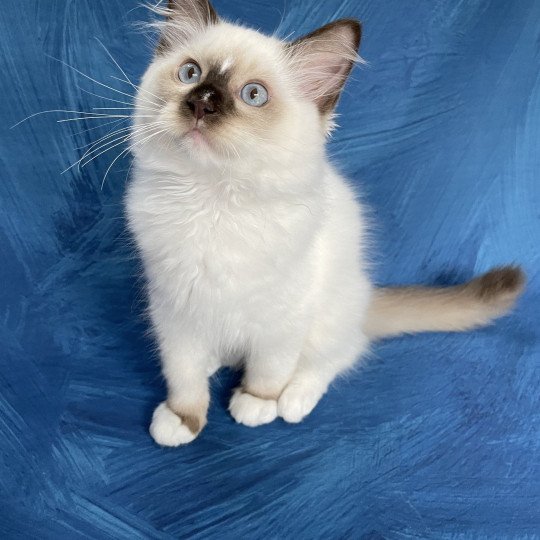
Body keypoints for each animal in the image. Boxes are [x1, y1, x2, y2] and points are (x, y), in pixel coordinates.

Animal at [125, 1, 524, 448]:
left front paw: (256, 404)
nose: (202, 103)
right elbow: (184, 374)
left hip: (330, 315)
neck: (212, 202)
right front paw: (183, 419)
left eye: (253, 95)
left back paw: (293, 401)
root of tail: (365, 300)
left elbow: (270, 368)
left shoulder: (284, 317)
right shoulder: (175, 313)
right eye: (190, 74)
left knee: (339, 355)